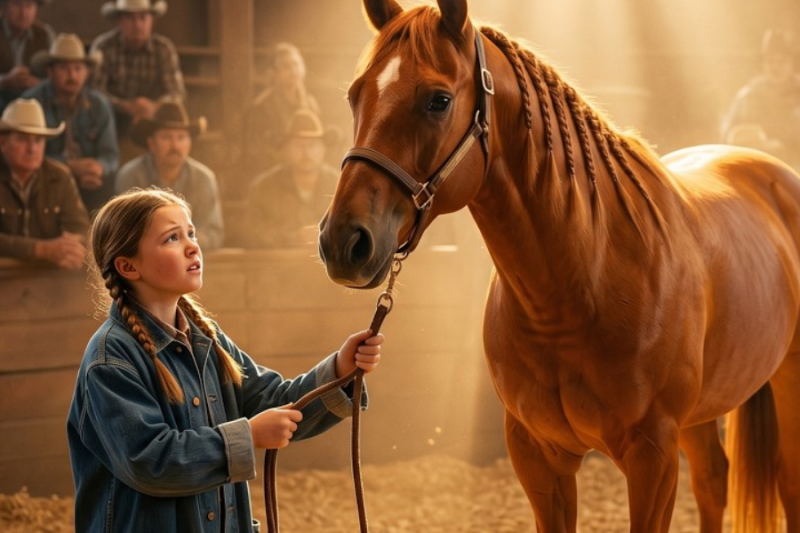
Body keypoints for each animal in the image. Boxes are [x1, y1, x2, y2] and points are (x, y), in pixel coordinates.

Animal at [317, 1, 800, 531]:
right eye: (355, 95)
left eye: (438, 101)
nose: (343, 241)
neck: (586, 281)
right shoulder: (537, 455)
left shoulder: (653, 457)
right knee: (713, 480)